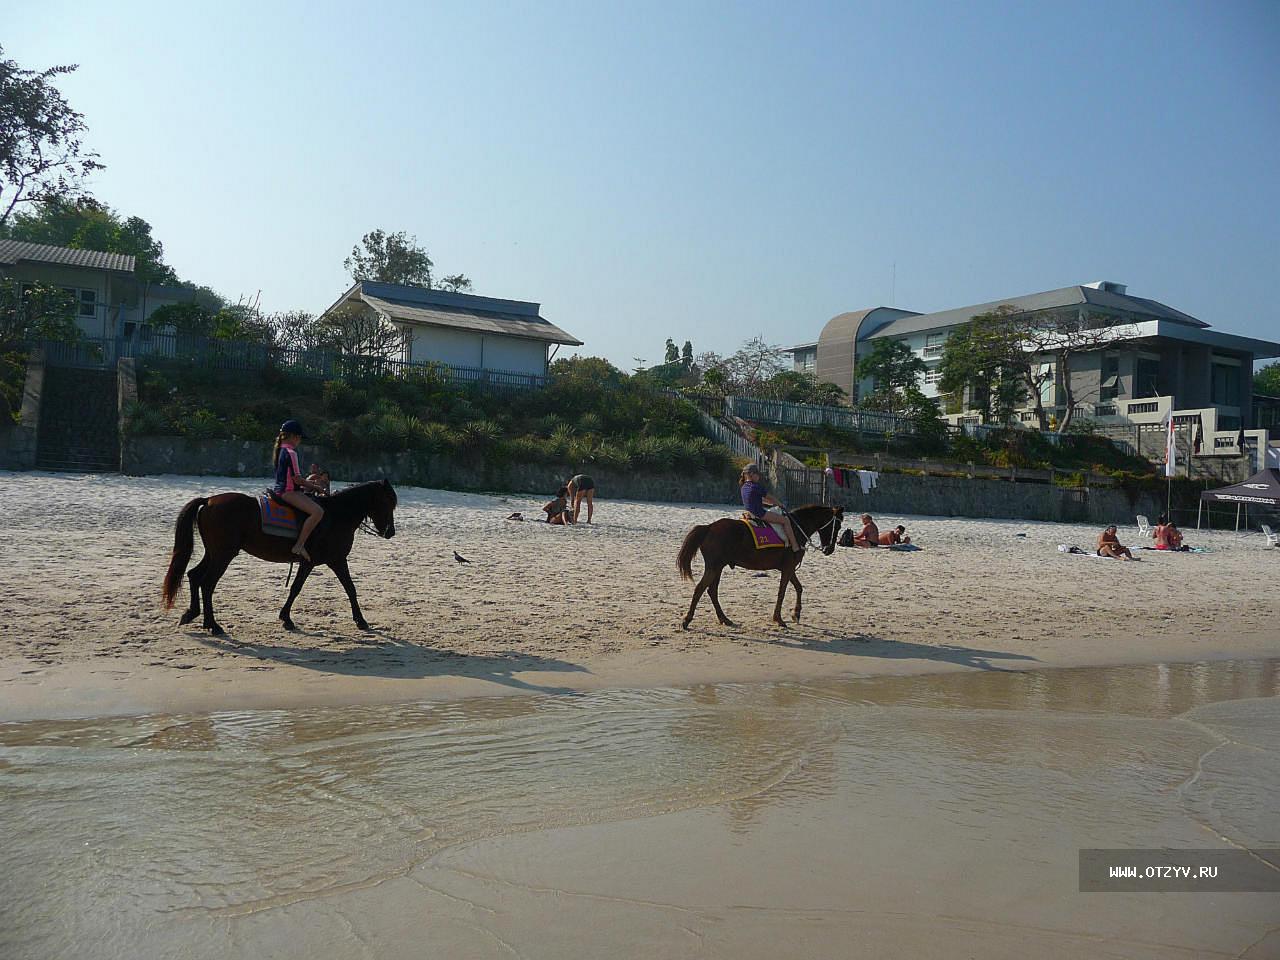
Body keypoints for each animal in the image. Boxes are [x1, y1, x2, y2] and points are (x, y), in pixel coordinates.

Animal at [162, 478, 396, 634]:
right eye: (388, 503)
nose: (390, 532)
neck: (338, 515)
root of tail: (209, 500)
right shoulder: (331, 560)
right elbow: (344, 588)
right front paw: (361, 620)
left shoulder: (319, 562)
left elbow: (303, 588)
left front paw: (286, 618)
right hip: (223, 555)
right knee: (207, 583)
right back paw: (213, 624)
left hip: (214, 553)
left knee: (194, 576)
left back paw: (192, 614)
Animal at [675, 504, 844, 632]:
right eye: (837, 526)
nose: (830, 549)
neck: (796, 528)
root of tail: (709, 527)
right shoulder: (788, 568)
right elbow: (782, 592)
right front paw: (778, 619)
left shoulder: (788, 568)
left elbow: (799, 588)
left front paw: (796, 613)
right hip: (714, 567)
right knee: (700, 589)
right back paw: (687, 620)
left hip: (718, 568)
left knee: (712, 591)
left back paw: (724, 618)